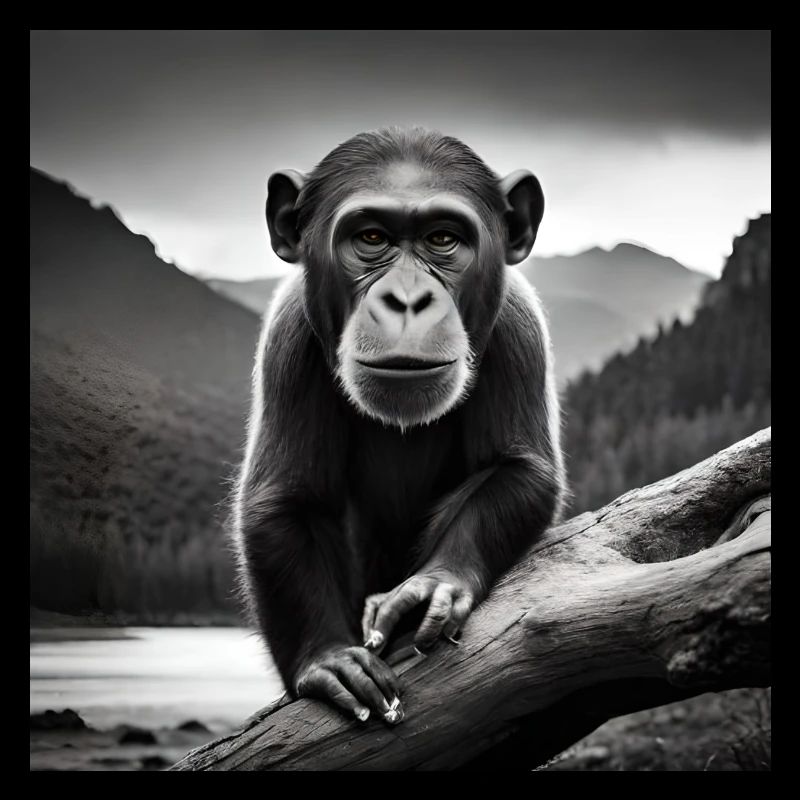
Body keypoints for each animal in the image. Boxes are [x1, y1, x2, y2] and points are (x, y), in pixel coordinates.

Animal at [233, 127, 564, 726]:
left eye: (442, 239)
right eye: (371, 237)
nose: (407, 298)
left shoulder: (518, 324)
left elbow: (519, 468)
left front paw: (433, 586)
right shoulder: (289, 335)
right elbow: (287, 498)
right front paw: (328, 658)